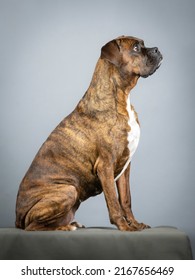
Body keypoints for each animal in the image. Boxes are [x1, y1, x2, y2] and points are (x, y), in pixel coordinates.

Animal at [15, 36, 162, 231]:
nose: (157, 49)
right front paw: (124, 226)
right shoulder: (105, 166)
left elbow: (125, 199)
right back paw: (66, 228)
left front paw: (135, 224)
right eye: (136, 48)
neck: (120, 96)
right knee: (33, 227)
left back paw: (72, 223)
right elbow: (113, 201)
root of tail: (16, 219)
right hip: (69, 190)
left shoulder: (125, 168)